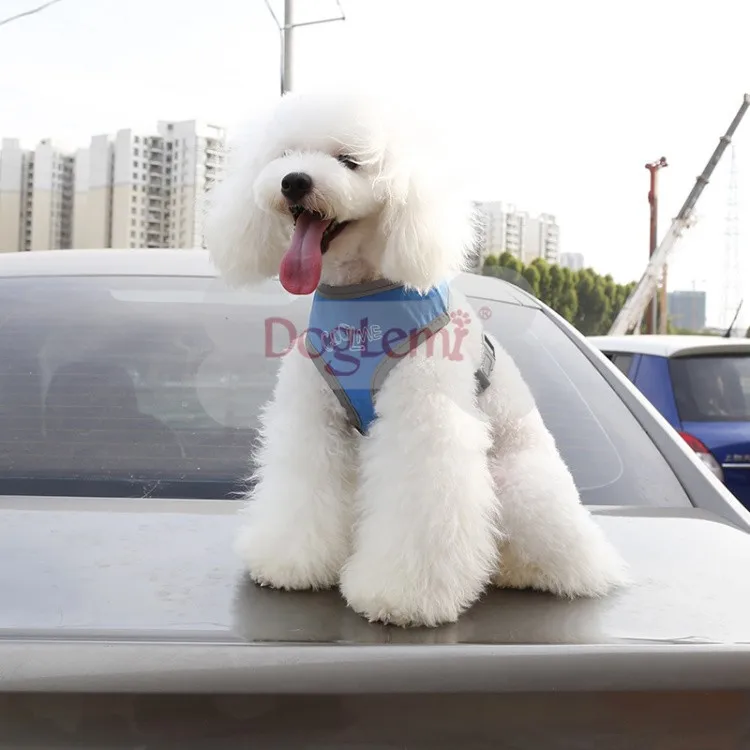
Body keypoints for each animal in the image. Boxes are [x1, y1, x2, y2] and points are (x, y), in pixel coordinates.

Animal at [204, 89, 628, 628]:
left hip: (518, 486)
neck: (361, 295)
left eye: (350, 161)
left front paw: (400, 597)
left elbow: (420, 508)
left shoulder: (424, 423)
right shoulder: (314, 419)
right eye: (284, 156)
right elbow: (303, 485)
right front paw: (289, 562)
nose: (294, 180)